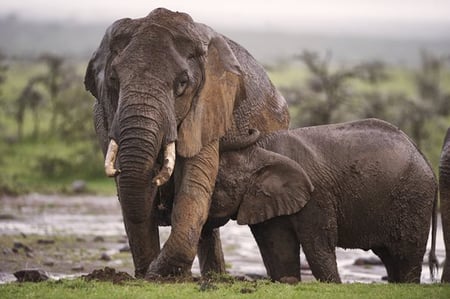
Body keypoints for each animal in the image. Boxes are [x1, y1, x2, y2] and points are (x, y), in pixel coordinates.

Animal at [82, 8, 290, 280]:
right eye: (113, 80)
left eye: (182, 84)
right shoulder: (104, 120)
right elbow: (132, 188)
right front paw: (150, 275)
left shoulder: (208, 109)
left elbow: (192, 184)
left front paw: (161, 276)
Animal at [209, 119, 438, 284]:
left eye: (216, 184)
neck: (258, 150)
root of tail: (425, 159)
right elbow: (277, 246)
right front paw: (287, 281)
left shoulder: (316, 195)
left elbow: (318, 243)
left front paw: (333, 285)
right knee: (390, 257)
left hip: (414, 197)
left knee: (406, 254)